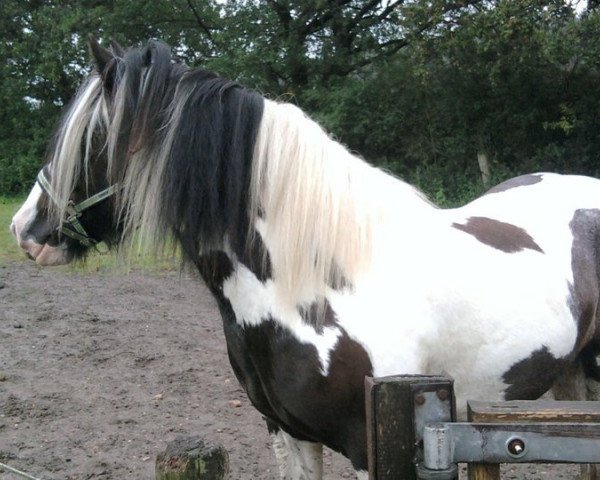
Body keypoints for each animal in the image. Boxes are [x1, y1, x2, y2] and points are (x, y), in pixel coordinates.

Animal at [9, 39, 600, 478]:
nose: (24, 229)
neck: (318, 281)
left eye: (92, 138)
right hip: (572, 381)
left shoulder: (373, 446)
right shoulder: (288, 434)